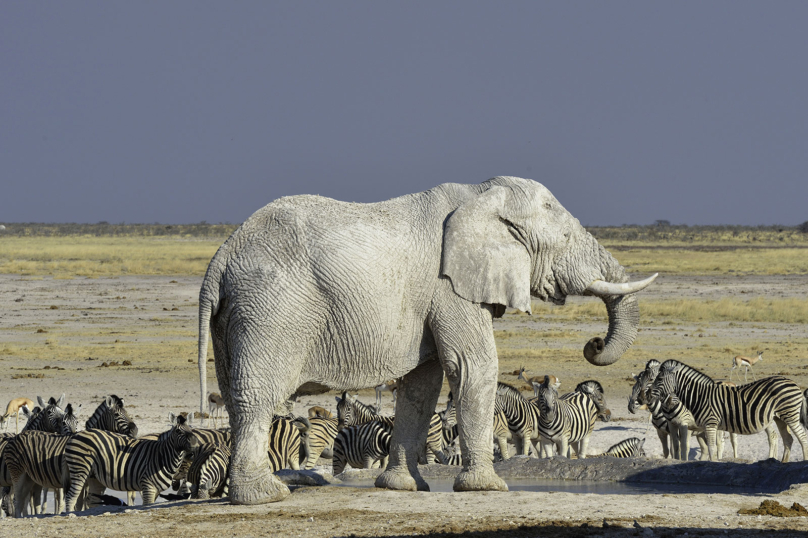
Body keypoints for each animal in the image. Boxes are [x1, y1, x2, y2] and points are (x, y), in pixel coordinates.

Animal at [63, 412, 199, 508]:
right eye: (178, 431)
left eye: (191, 429)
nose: (194, 446)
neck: (162, 456)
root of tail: (75, 435)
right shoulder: (148, 486)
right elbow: (147, 505)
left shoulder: (155, 490)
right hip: (79, 470)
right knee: (71, 497)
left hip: (94, 477)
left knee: (91, 500)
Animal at [197, 175, 656, 502]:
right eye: (564, 239)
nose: (594, 344)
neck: (481, 193)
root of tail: (221, 257)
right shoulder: (449, 286)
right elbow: (473, 365)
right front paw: (488, 488)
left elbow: (423, 382)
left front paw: (402, 487)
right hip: (271, 310)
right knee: (257, 395)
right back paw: (265, 496)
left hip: (237, 315)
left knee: (235, 394)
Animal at [652, 356, 808, 460]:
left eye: (659, 379)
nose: (648, 394)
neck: (701, 395)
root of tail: (793, 383)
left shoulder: (711, 423)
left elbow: (712, 448)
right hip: (779, 417)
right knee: (788, 440)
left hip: (790, 416)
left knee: (803, 438)